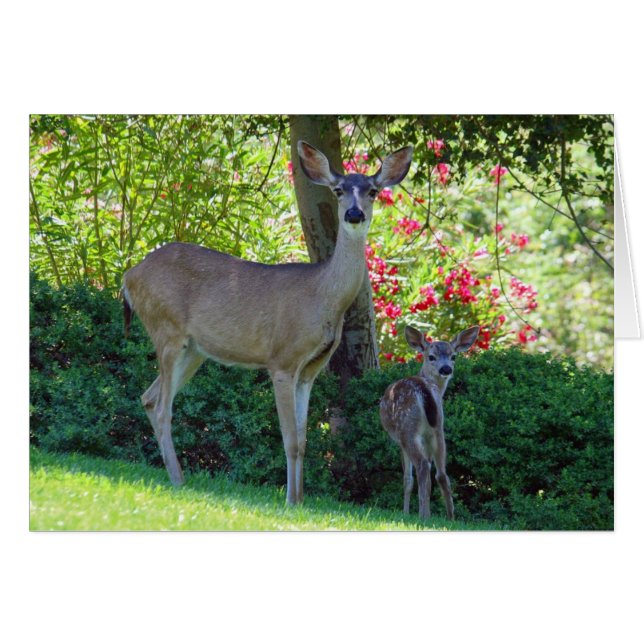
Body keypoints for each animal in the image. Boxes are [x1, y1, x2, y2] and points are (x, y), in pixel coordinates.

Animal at [122, 140, 413, 505]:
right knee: (162, 406)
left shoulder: (311, 370)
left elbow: (303, 439)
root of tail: (128, 276)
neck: (323, 297)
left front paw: (300, 500)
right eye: (338, 190)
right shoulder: (282, 359)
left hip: (195, 349)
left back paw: (177, 476)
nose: (354, 214)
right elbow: (290, 438)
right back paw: (178, 480)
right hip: (167, 328)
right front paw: (289, 501)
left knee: (148, 397)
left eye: (373, 191)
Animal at [380, 325, 480, 520]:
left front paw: (405, 513)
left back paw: (423, 515)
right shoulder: (429, 435)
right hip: (439, 428)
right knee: (441, 473)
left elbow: (407, 479)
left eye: (453, 356)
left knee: (423, 466)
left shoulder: (400, 442)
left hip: (407, 429)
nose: (446, 369)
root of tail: (423, 388)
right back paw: (450, 517)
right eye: (431, 356)